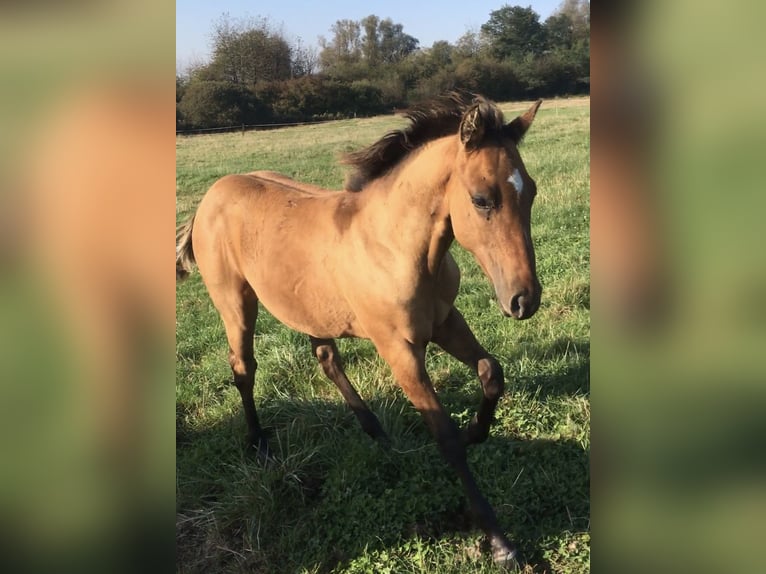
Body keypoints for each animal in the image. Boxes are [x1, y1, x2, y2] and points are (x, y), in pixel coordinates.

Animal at [176, 94, 544, 572]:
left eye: (531, 191)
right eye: (482, 200)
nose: (524, 301)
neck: (395, 246)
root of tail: (209, 197)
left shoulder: (445, 321)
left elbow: (491, 372)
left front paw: (476, 431)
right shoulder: (398, 347)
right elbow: (444, 434)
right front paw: (500, 542)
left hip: (307, 306)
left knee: (325, 358)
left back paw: (377, 433)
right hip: (235, 303)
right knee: (243, 367)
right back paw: (258, 443)